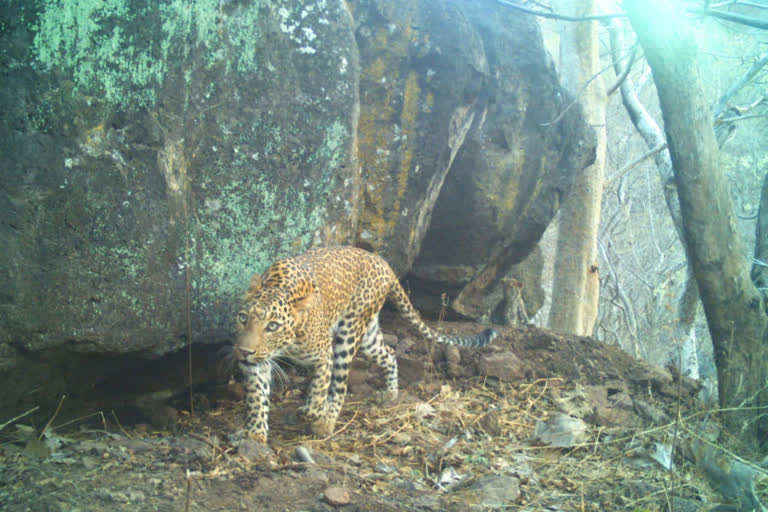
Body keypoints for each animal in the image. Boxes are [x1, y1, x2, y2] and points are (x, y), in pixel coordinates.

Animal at [234, 245, 498, 440]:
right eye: (243, 318)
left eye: (273, 326)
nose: (244, 351)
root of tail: (382, 262)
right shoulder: (257, 362)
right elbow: (257, 396)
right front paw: (255, 434)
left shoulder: (323, 355)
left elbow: (320, 389)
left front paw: (310, 413)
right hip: (369, 336)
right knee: (389, 353)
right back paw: (390, 393)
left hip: (349, 333)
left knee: (340, 385)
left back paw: (326, 422)